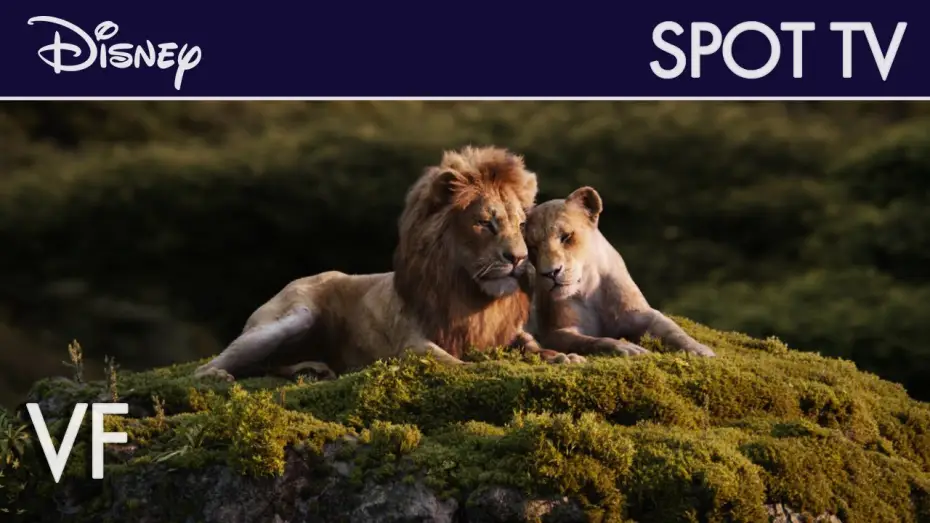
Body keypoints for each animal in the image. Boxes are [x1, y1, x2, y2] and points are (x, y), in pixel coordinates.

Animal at [193, 146, 584, 382]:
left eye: (521, 224)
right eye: (485, 223)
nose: (518, 259)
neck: (471, 295)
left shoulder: (506, 332)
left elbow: (533, 345)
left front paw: (563, 357)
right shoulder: (409, 344)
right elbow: (449, 360)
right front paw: (480, 368)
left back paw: (313, 368)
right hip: (294, 316)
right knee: (219, 364)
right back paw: (216, 376)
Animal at [524, 186, 717, 358]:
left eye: (566, 237)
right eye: (533, 247)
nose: (550, 273)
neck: (589, 288)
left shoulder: (640, 314)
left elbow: (672, 329)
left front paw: (700, 350)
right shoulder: (556, 332)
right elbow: (592, 340)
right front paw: (628, 348)